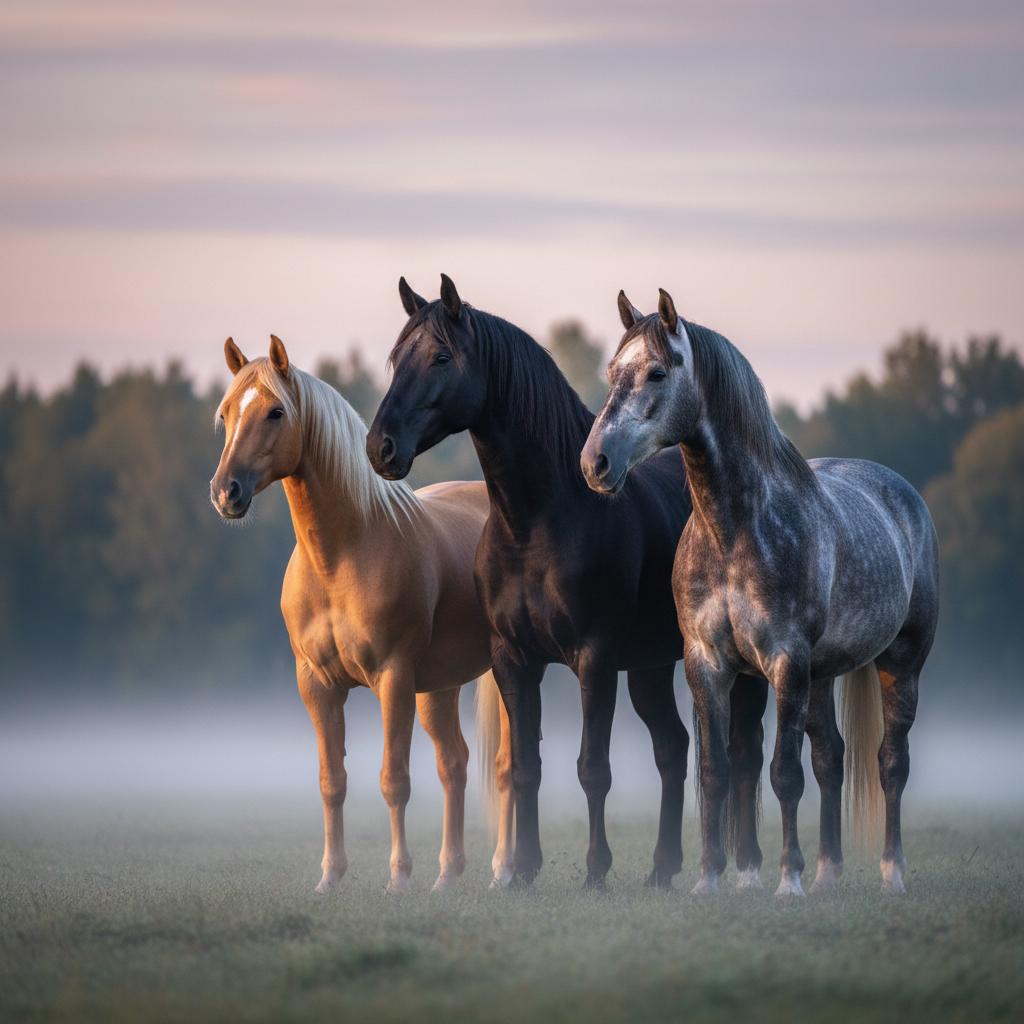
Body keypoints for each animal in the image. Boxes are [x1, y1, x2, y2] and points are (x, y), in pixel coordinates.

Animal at [209, 334, 514, 893]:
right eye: (226, 413)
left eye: (276, 412)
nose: (226, 492)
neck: (343, 555)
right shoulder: (318, 686)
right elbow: (333, 782)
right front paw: (330, 877)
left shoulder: (393, 679)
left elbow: (394, 781)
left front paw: (398, 879)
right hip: (439, 688)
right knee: (454, 764)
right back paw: (448, 876)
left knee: (506, 765)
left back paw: (503, 870)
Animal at [366, 274, 770, 889]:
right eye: (396, 359)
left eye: (441, 357)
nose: (380, 447)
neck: (540, 521)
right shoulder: (513, 659)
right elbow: (525, 768)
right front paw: (521, 871)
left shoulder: (593, 658)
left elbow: (592, 767)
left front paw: (595, 871)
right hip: (650, 668)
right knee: (673, 748)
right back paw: (662, 867)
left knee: (743, 754)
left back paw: (743, 865)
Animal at [581, 289, 939, 895]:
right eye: (612, 373)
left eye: (657, 372)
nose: (595, 463)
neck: (734, 531)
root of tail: (903, 493)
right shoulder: (706, 663)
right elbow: (716, 772)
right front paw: (708, 879)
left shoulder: (785, 662)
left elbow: (783, 774)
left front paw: (786, 881)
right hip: (823, 674)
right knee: (831, 758)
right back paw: (827, 874)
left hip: (901, 663)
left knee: (891, 762)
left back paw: (890, 873)